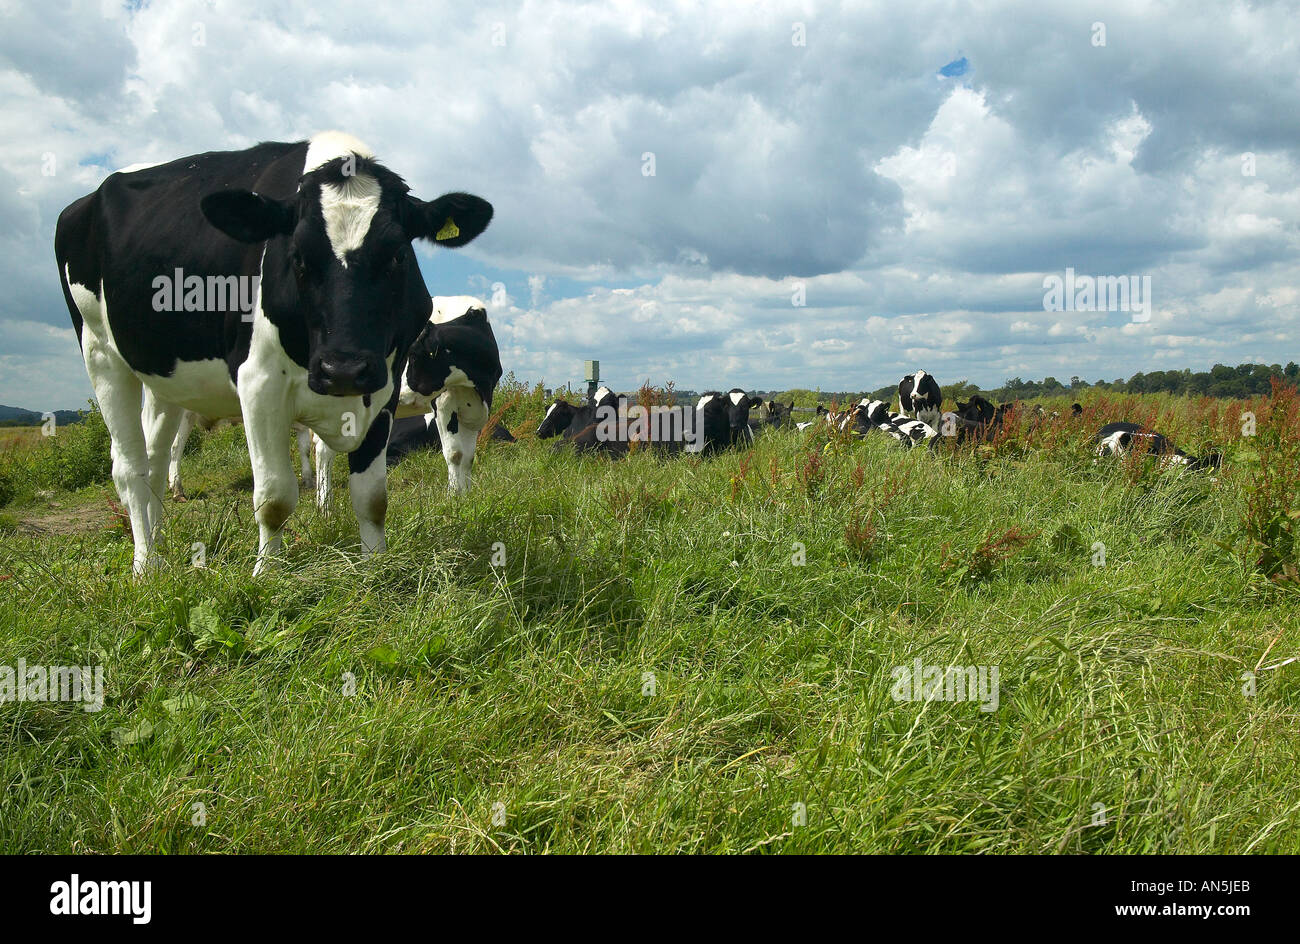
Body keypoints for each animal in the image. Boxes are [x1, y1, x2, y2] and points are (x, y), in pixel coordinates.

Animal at [55, 131, 493, 574]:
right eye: (296, 258)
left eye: (398, 255)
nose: (343, 370)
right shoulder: (259, 385)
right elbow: (275, 498)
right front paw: (267, 574)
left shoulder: (383, 389)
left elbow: (372, 498)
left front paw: (374, 568)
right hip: (100, 352)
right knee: (129, 468)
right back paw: (146, 566)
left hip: (165, 378)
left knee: (155, 460)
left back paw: (160, 545)